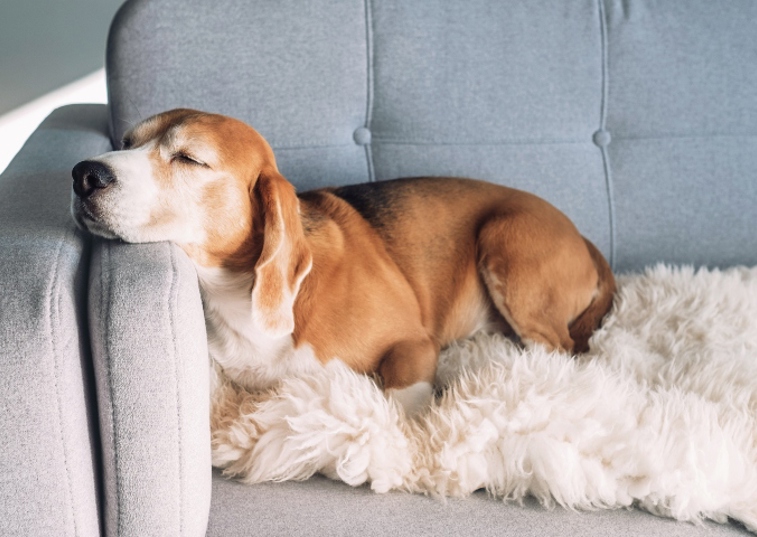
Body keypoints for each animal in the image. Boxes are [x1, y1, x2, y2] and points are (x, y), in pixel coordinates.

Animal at [72, 107, 616, 412]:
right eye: (125, 143)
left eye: (189, 159)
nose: (83, 174)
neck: (236, 294)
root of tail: (582, 236)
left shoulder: (413, 344)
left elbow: (401, 398)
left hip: (506, 241)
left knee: (561, 349)